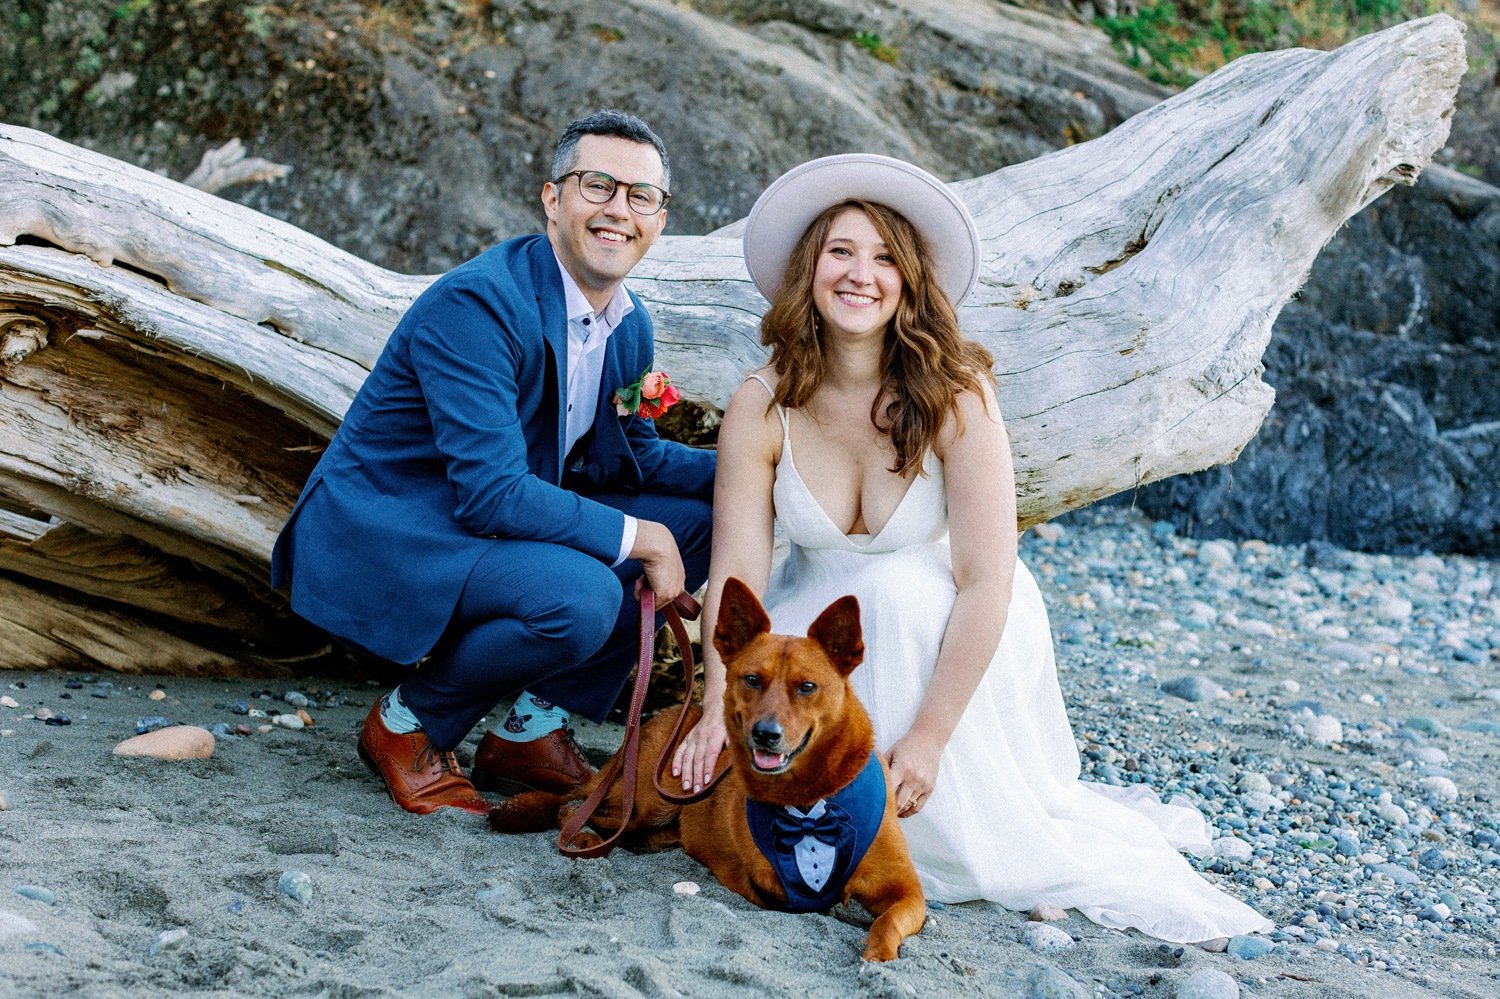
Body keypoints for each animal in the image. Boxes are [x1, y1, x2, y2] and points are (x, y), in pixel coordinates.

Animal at [489, 576, 924, 960]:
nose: (765, 735)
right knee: (575, 809)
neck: (808, 804)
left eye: (807, 687)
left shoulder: (907, 891)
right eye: (752, 679)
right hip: (652, 800)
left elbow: (888, 919)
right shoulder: (763, 883)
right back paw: (583, 837)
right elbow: (792, 895)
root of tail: (660, 719)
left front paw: (877, 953)